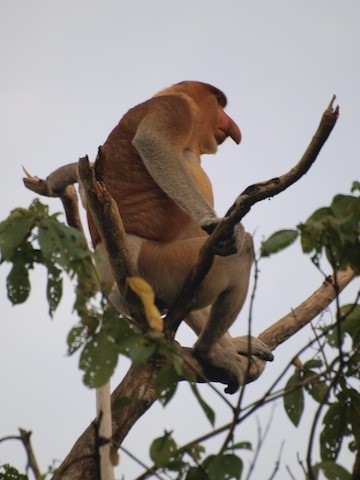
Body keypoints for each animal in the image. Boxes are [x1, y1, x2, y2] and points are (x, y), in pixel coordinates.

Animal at [88, 80, 272, 392]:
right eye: (218, 103)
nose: (232, 127)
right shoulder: (175, 109)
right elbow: (153, 144)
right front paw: (213, 222)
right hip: (160, 266)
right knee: (241, 252)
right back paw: (207, 352)